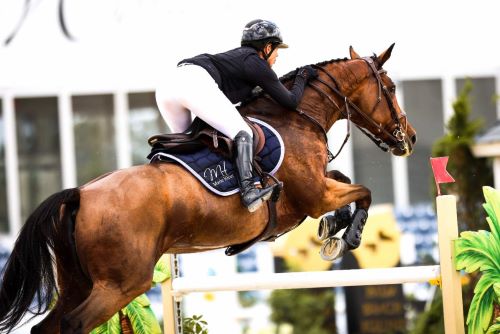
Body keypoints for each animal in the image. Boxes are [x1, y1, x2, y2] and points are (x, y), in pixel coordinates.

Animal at [0, 45, 416, 334]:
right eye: (391, 88)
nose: (409, 138)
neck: (297, 117)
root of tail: (80, 194)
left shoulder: (319, 188)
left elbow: (347, 181)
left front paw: (334, 228)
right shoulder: (315, 197)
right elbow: (362, 191)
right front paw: (348, 237)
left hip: (78, 282)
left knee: (48, 326)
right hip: (120, 284)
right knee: (74, 324)